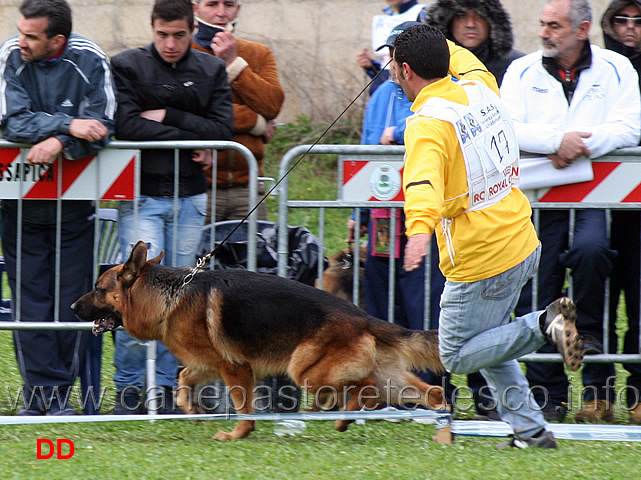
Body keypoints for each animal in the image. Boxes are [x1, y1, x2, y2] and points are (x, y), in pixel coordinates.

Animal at [71, 242, 444, 440]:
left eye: (98, 289)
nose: (73, 307)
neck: (171, 296)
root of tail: (362, 317)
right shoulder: (206, 365)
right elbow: (182, 383)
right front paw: (191, 411)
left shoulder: (234, 368)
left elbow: (243, 409)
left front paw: (238, 434)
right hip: (390, 378)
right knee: (430, 393)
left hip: (307, 372)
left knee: (365, 389)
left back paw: (344, 417)